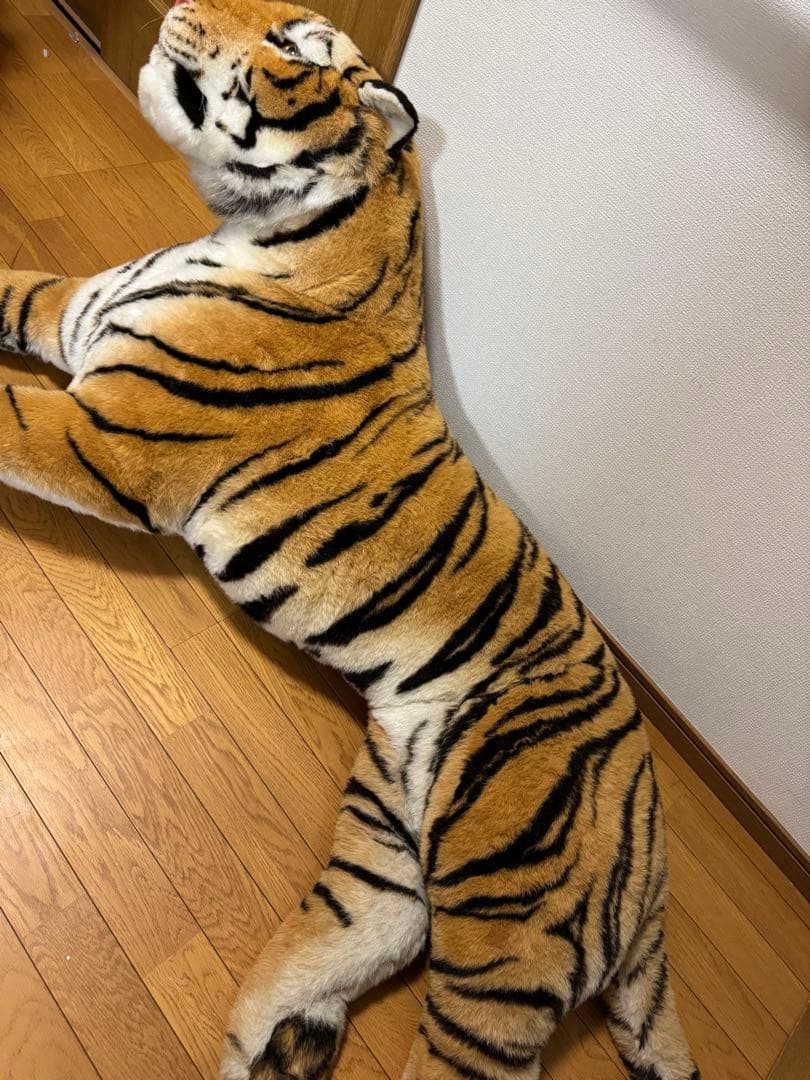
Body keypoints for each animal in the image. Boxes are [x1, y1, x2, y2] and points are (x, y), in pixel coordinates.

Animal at [0, 2, 700, 1078]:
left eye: (294, 47)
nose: (179, 7)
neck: (252, 230)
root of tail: (657, 832)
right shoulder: (68, 312)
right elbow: (4, 286)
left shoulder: (104, 438)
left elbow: (0, 412)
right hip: (379, 866)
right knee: (307, 985)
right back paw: (291, 1046)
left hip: (504, 929)